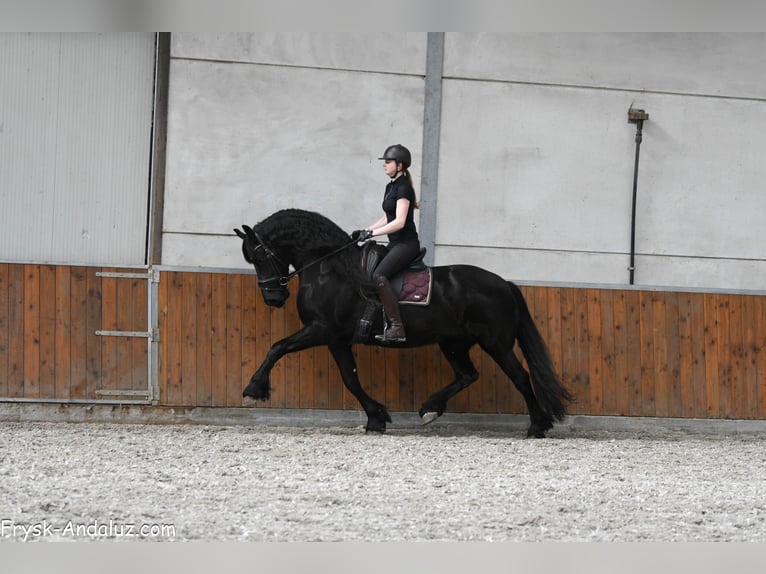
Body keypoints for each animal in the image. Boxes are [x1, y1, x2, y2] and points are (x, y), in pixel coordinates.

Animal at [234, 208, 572, 437]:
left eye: (259, 257)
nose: (273, 298)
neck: (329, 269)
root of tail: (504, 283)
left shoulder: (321, 329)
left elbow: (277, 348)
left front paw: (253, 390)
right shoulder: (337, 339)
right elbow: (350, 378)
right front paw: (376, 418)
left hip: (496, 344)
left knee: (520, 378)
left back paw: (537, 426)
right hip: (453, 342)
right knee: (468, 374)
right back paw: (429, 409)